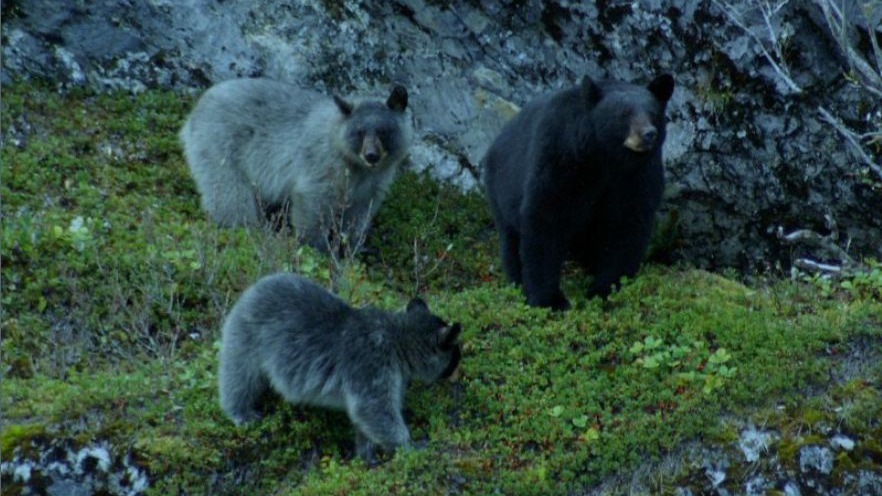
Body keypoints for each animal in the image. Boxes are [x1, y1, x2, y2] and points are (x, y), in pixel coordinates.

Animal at [181, 80, 412, 250]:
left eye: (384, 131)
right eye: (359, 131)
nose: (371, 155)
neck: (356, 166)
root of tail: (198, 106)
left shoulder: (374, 183)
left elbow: (359, 213)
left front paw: (351, 247)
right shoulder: (323, 162)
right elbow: (313, 200)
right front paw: (317, 246)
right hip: (220, 145)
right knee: (229, 191)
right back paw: (243, 227)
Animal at [217, 272, 460, 462]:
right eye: (456, 354)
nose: (456, 371)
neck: (397, 339)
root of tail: (252, 289)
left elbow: (366, 418)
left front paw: (367, 453)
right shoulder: (372, 366)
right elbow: (375, 411)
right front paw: (409, 447)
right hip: (246, 339)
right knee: (239, 377)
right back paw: (240, 410)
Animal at [482, 73, 672, 310]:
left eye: (653, 114)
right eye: (624, 114)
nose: (649, 134)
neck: (606, 158)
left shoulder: (638, 175)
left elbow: (627, 224)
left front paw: (604, 290)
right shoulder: (561, 155)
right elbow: (546, 217)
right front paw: (549, 300)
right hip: (501, 189)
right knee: (511, 240)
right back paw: (517, 284)